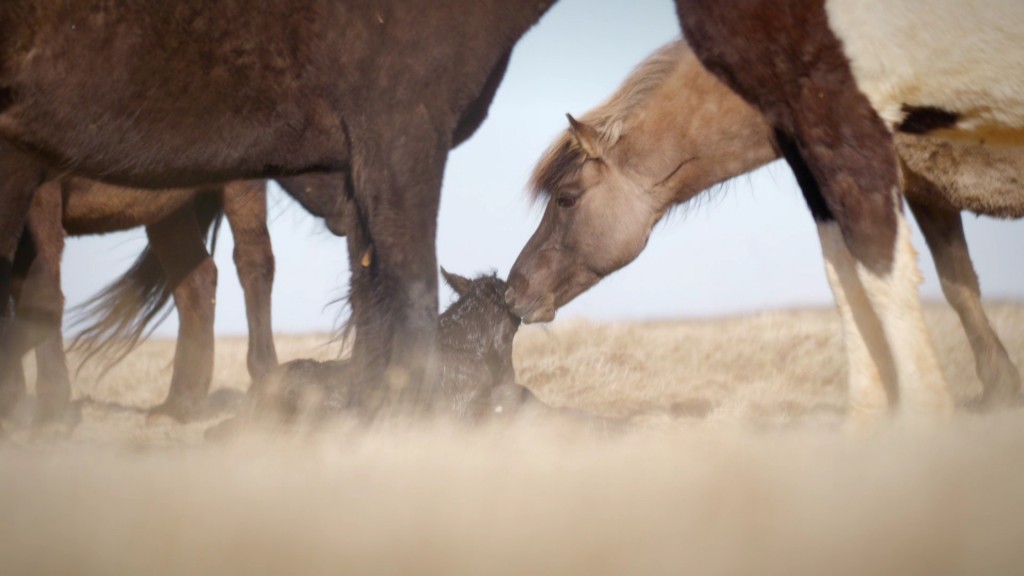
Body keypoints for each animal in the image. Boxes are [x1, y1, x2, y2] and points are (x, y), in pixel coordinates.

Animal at [4, 172, 350, 424]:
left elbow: (41, 289)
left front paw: (48, 408)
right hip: (168, 204)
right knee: (197, 280)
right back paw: (180, 405)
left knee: (253, 262)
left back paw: (263, 378)